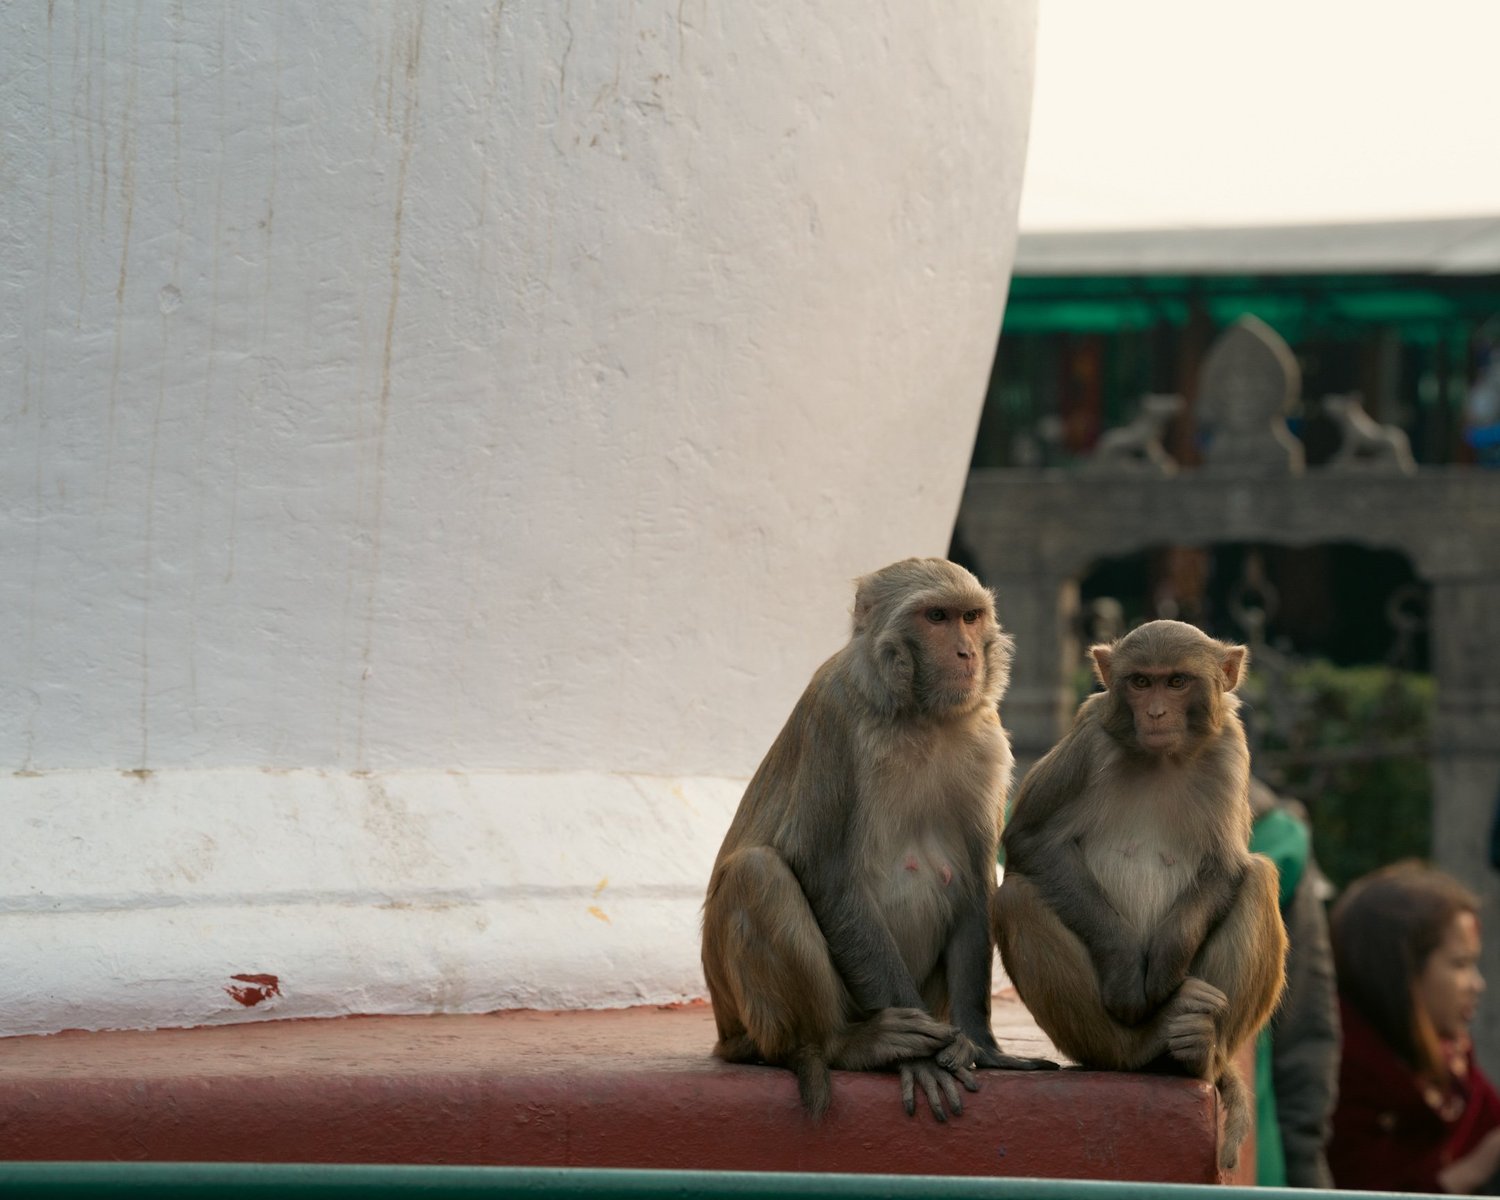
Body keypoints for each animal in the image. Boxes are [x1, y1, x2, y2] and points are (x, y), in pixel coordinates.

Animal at [702, 557, 1055, 1121]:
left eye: (970, 617)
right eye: (936, 617)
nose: (967, 653)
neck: (917, 713)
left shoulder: (985, 738)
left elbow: (977, 883)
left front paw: (982, 1046)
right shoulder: (832, 713)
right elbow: (824, 871)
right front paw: (920, 1061)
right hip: (747, 1021)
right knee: (758, 873)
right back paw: (845, 1043)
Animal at [993, 619, 1286, 1171]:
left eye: (1176, 682)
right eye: (1140, 682)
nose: (1154, 713)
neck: (1161, 758)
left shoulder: (1230, 750)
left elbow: (1226, 865)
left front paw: (1166, 966)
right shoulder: (1089, 739)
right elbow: (1031, 841)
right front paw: (1130, 974)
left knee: (1259, 879)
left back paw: (1197, 1051)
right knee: (1017, 897)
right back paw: (1142, 1045)